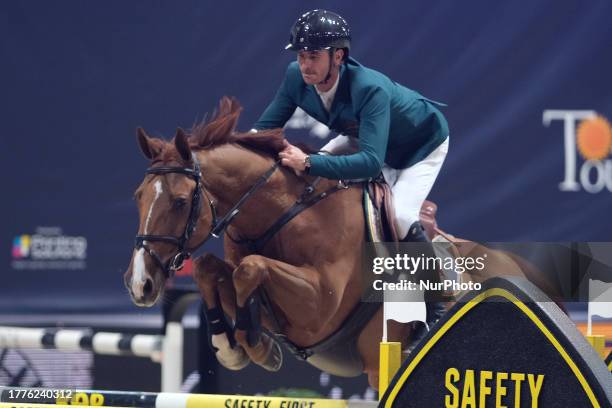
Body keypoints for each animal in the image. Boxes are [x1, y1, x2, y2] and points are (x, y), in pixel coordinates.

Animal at [123, 95, 544, 388]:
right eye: (137, 196)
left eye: (180, 201)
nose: (140, 284)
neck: (285, 214)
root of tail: (519, 270)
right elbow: (213, 270)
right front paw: (232, 346)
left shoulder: (319, 309)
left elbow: (250, 269)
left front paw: (254, 345)